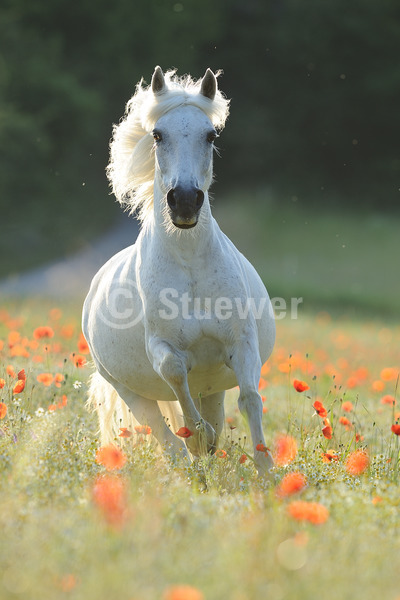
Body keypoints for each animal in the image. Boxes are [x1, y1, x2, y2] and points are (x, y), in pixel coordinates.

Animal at [81, 68, 276, 476]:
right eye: (158, 135)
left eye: (211, 135)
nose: (184, 201)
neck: (189, 265)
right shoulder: (163, 348)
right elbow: (174, 370)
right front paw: (199, 440)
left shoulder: (241, 344)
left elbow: (250, 400)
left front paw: (267, 472)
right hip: (128, 389)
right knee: (164, 436)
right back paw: (192, 458)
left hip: (213, 386)